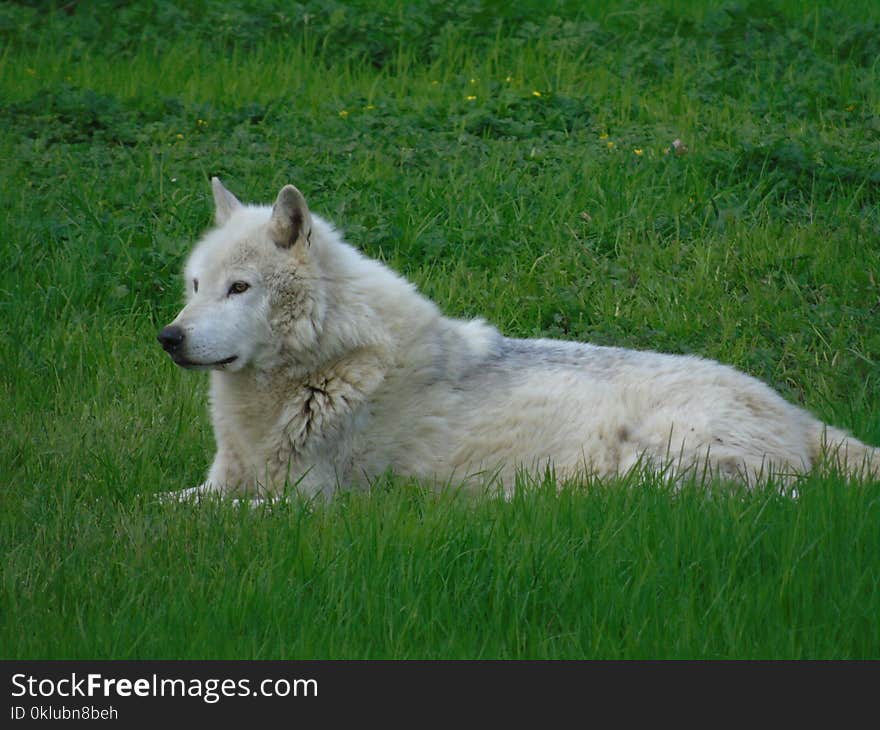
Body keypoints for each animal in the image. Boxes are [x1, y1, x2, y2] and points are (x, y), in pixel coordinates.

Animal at [156, 177, 872, 498]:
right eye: (195, 284)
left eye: (239, 288)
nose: (168, 337)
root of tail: (797, 415)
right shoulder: (223, 482)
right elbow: (158, 505)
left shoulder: (307, 503)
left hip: (657, 462)